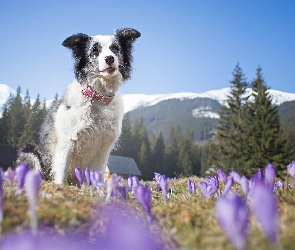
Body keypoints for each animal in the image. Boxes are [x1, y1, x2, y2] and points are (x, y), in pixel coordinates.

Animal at [16, 28, 142, 185]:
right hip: (29, 152)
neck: (98, 97)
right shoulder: (66, 142)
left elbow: (98, 174)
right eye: (95, 50)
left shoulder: (103, 149)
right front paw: (60, 186)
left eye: (115, 48)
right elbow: (61, 172)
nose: (109, 58)